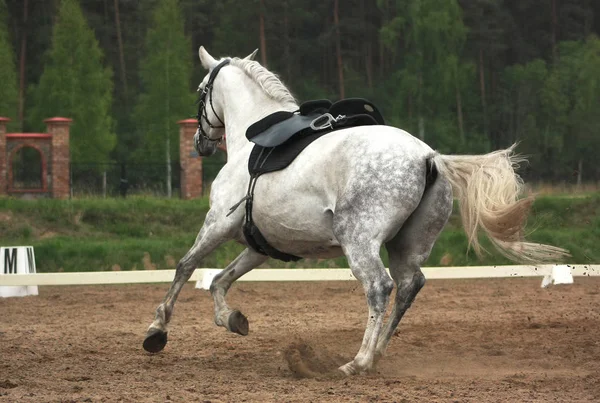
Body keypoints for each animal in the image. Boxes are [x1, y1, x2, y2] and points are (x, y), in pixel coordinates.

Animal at [143, 46, 568, 376]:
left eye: (201, 92)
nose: (200, 144)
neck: (252, 140)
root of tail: (429, 156)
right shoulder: (261, 246)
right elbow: (220, 280)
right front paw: (232, 320)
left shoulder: (217, 224)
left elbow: (185, 267)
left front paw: (157, 331)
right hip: (406, 246)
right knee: (409, 286)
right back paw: (376, 353)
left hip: (358, 240)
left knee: (379, 287)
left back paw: (358, 362)